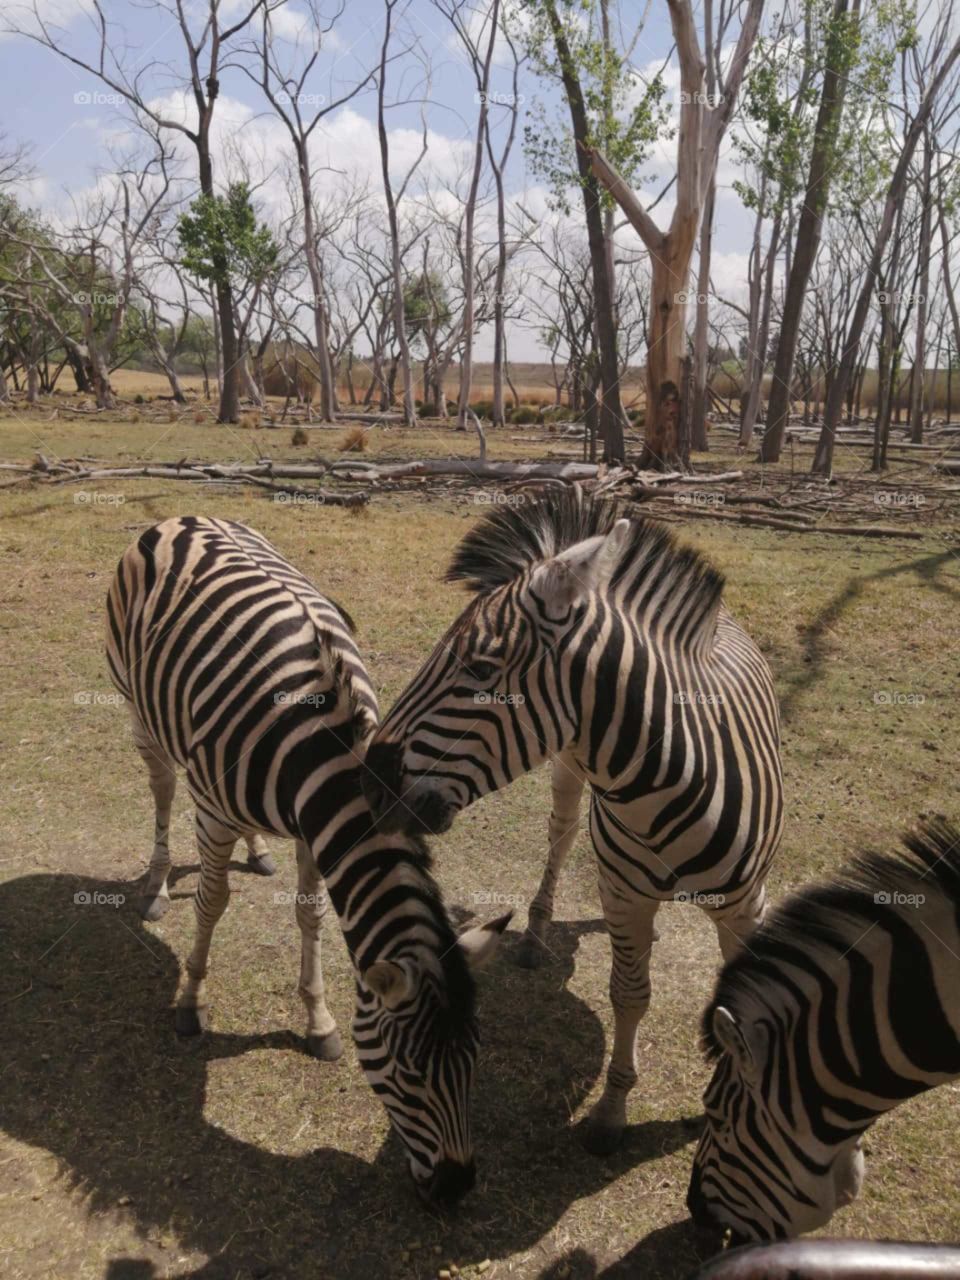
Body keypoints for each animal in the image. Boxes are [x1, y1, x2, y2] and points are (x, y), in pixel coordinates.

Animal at [106, 516, 509, 1204]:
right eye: (409, 1073)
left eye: (474, 1057)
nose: (457, 1190)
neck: (323, 749)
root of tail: (185, 518)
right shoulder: (213, 807)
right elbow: (212, 902)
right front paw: (191, 1000)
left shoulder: (314, 828)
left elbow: (311, 916)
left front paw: (319, 1019)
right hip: (139, 709)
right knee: (160, 787)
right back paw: (158, 886)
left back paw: (258, 851)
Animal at [363, 488, 784, 1153]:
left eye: (480, 668)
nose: (364, 778)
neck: (666, 785)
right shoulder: (622, 893)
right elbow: (629, 994)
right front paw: (612, 1112)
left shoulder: (748, 904)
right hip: (566, 767)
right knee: (560, 836)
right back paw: (537, 932)